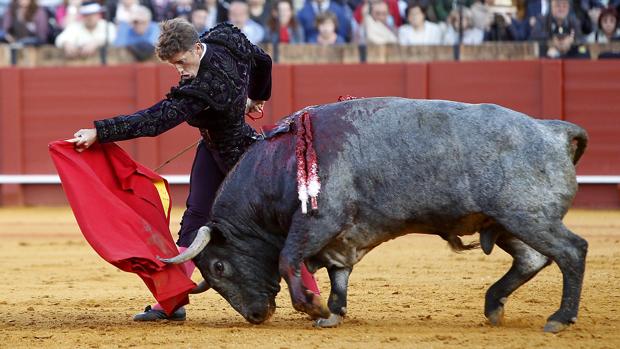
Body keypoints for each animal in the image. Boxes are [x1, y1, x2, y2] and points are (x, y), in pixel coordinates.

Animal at [159, 97, 588, 332]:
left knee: (572, 251)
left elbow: (287, 258)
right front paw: (332, 313)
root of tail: (553, 131)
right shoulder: (341, 237)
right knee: (532, 259)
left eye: (219, 267)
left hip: (526, 215)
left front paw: (313, 307)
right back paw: (494, 304)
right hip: (506, 223)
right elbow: (338, 274)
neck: (280, 166)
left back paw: (559, 318)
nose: (255, 315)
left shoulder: (318, 221)